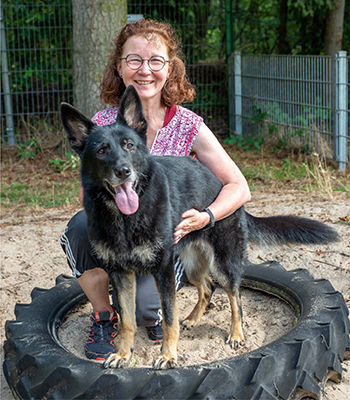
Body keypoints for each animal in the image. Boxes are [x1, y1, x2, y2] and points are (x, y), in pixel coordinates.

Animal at [60, 86, 340, 370]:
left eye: (129, 145)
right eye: (101, 151)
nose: (124, 171)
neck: (126, 219)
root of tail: (223, 186)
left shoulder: (163, 271)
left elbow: (168, 318)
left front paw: (168, 356)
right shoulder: (120, 274)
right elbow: (127, 320)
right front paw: (122, 354)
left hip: (223, 264)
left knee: (235, 297)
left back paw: (236, 334)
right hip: (191, 264)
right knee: (207, 288)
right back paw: (194, 319)